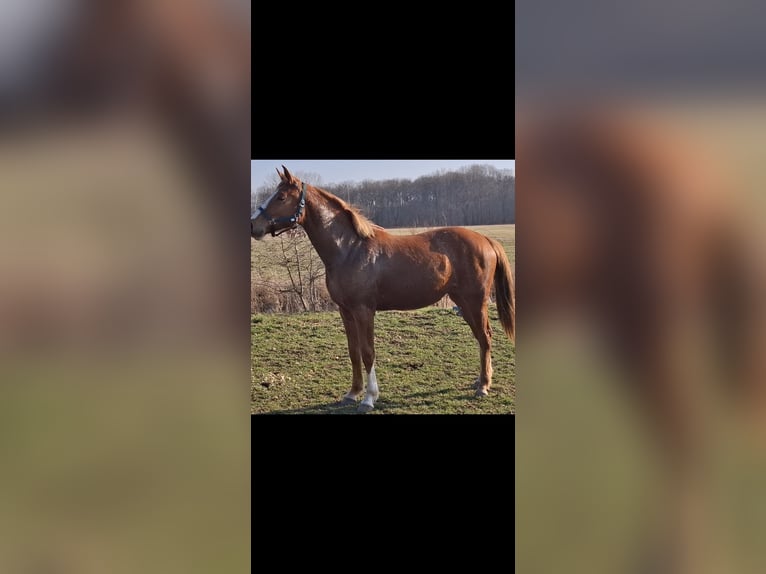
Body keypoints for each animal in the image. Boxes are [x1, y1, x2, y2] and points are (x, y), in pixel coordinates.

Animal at [251, 166, 515, 412]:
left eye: (281, 197)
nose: (254, 226)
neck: (350, 249)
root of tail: (487, 240)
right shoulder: (345, 311)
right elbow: (353, 351)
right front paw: (352, 392)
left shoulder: (364, 310)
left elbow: (368, 352)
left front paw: (369, 398)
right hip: (463, 301)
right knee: (482, 337)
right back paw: (480, 381)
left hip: (475, 301)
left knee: (485, 337)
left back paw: (483, 386)